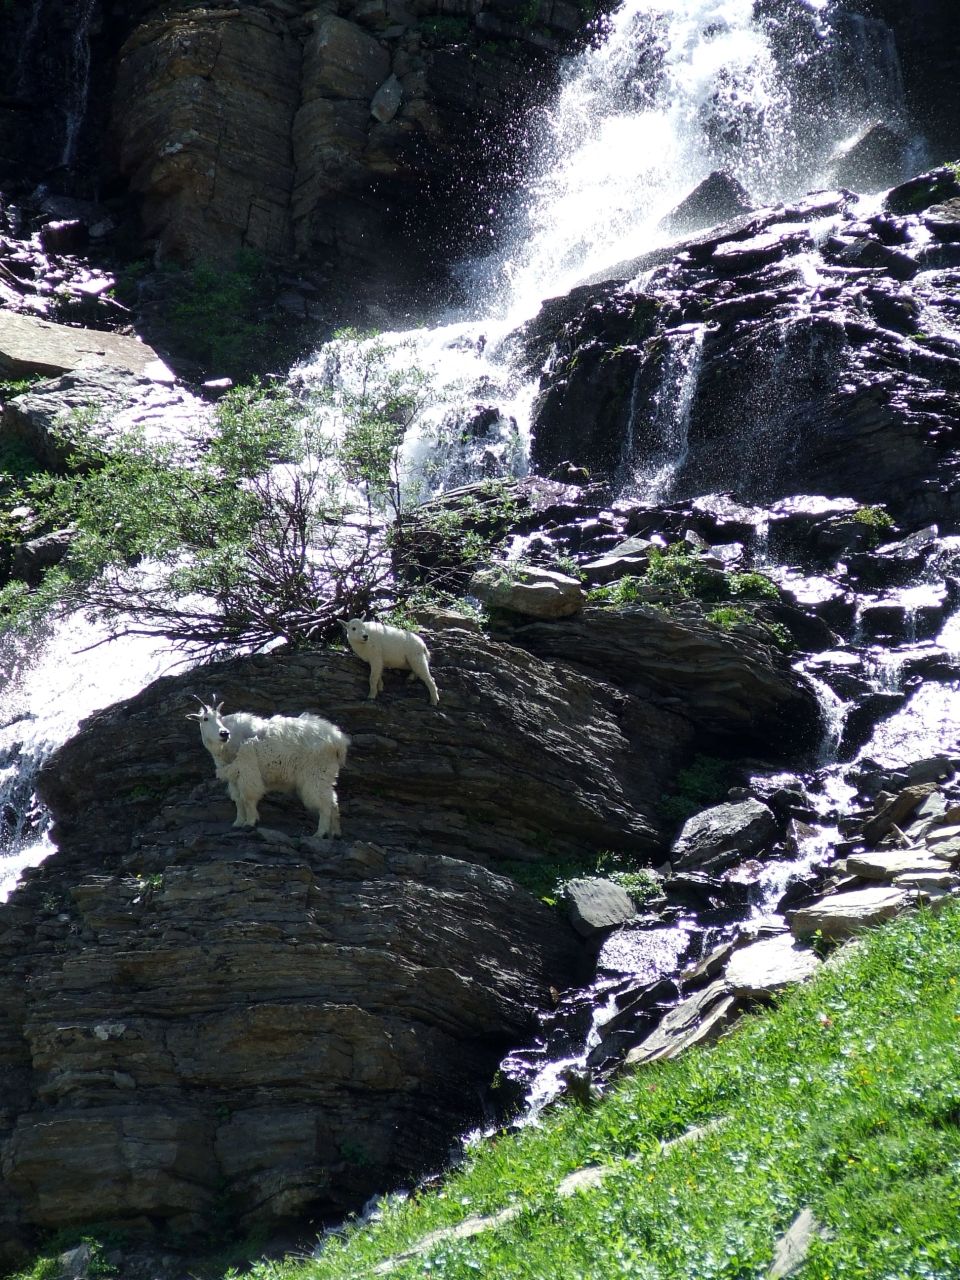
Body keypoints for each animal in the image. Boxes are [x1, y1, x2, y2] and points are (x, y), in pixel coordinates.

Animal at [187, 699, 349, 837]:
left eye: (219, 717)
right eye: (205, 719)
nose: (224, 733)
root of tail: (338, 740)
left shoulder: (247, 770)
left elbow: (247, 797)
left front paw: (250, 822)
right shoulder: (234, 776)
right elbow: (238, 799)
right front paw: (237, 823)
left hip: (316, 774)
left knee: (325, 803)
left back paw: (320, 833)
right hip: (325, 776)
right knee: (333, 802)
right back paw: (335, 833)